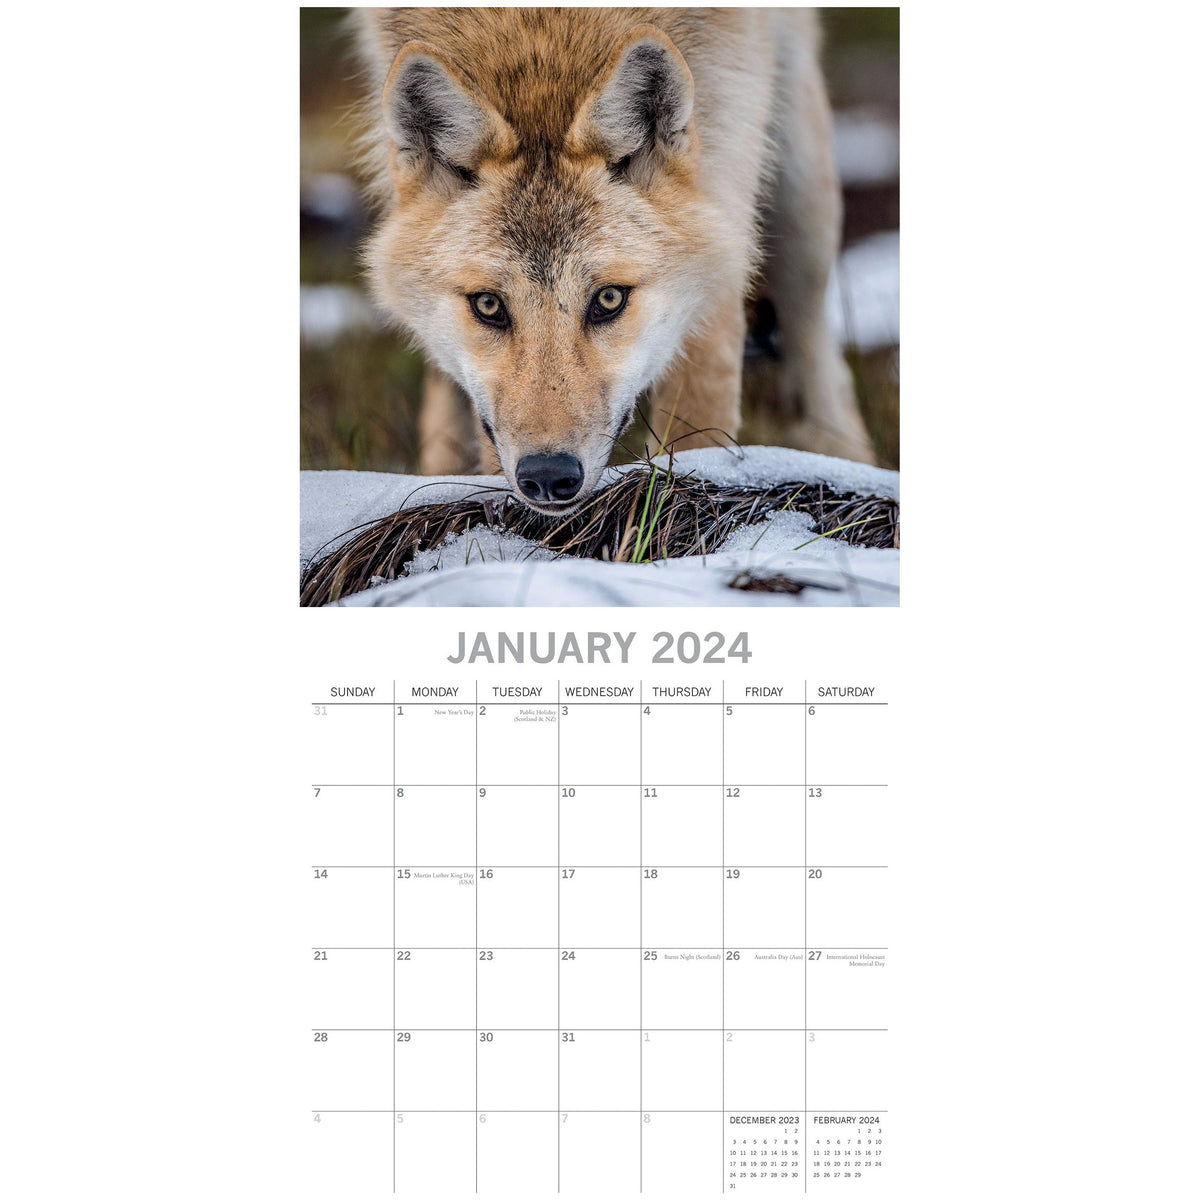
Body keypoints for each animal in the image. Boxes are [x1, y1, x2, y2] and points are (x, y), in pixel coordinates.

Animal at [351, 7, 875, 514]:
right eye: (488, 306)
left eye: (608, 299)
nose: (548, 477)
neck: (542, 32)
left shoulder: (727, 205)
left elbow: (698, 426)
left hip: (799, 172)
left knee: (813, 333)